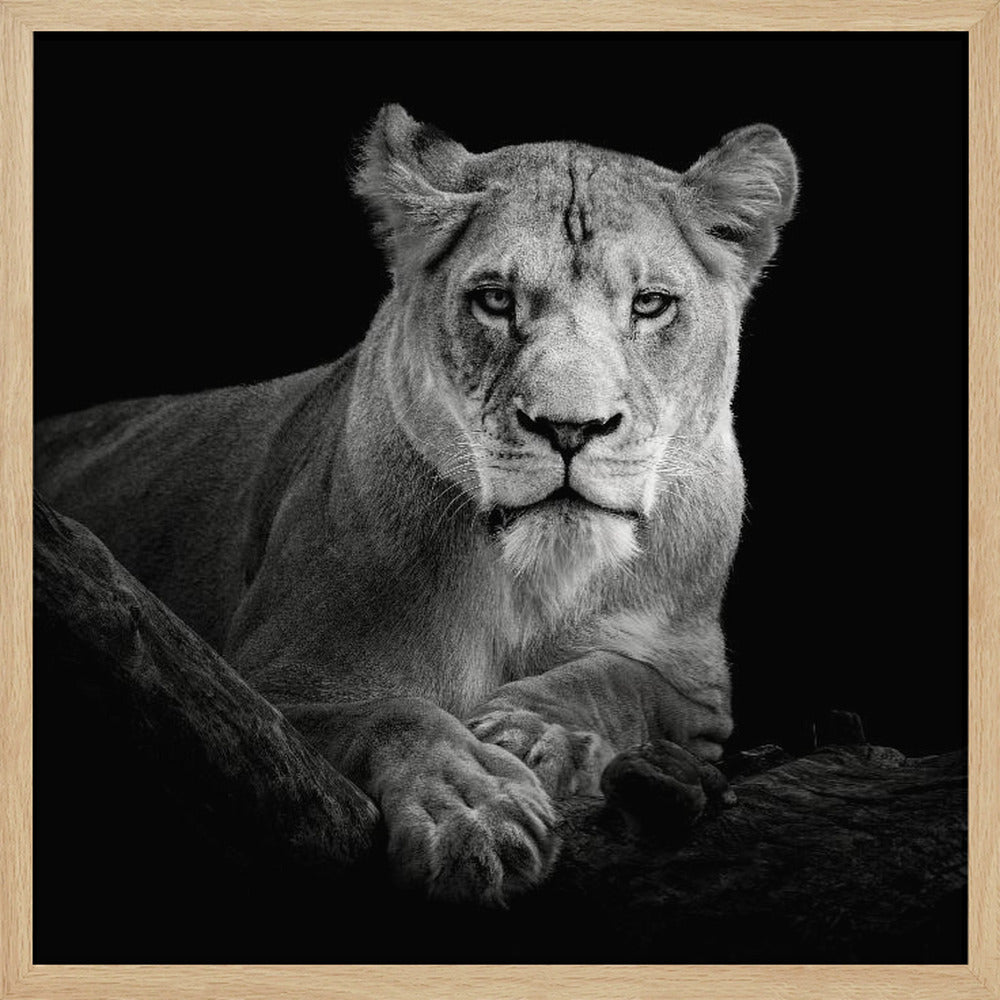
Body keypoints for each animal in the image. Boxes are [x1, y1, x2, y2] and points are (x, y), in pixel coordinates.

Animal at [35, 105, 797, 905]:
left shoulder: (697, 687)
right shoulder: (260, 693)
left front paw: (534, 733)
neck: (535, 580)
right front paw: (474, 810)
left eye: (650, 305)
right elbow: (396, 714)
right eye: (495, 299)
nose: (569, 428)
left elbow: (620, 678)